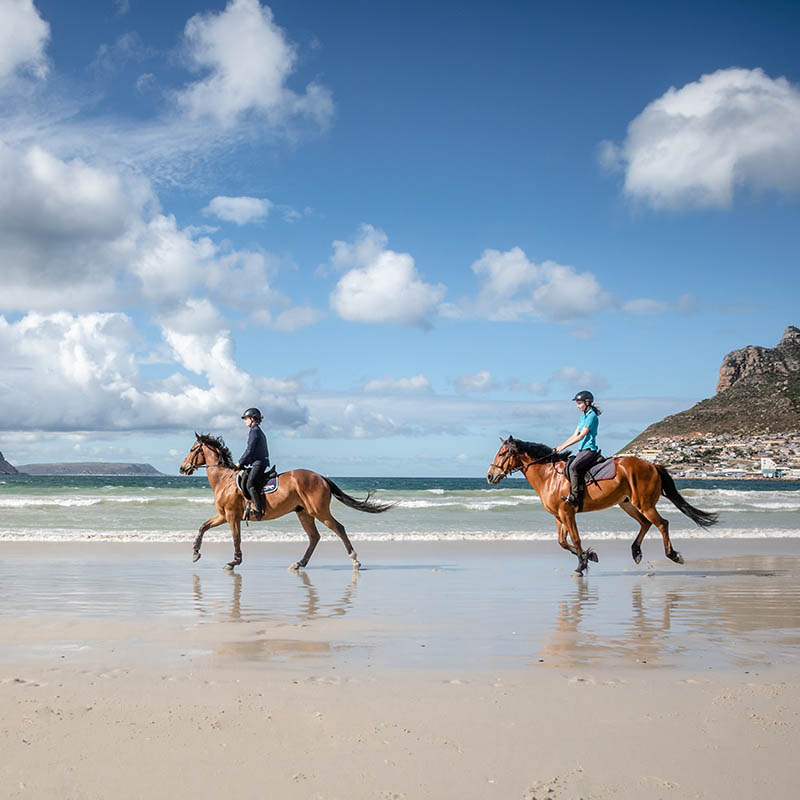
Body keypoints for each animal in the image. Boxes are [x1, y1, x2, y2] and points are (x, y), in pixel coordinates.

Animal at [180, 434, 394, 572]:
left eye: (192, 449)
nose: (183, 468)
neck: (225, 479)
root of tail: (322, 477)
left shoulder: (232, 516)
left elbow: (236, 538)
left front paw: (234, 562)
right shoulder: (224, 515)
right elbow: (203, 527)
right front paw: (195, 552)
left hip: (319, 511)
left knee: (338, 529)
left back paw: (355, 560)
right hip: (303, 512)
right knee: (314, 537)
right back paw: (299, 563)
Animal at [488, 438, 720, 576]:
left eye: (502, 454)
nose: (489, 476)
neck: (549, 476)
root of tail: (653, 464)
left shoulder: (567, 512)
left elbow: (576, 539)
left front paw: (581, 565)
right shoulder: (558, 516)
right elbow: (562, 542)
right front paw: (589, 556)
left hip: (644, 504)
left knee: (662, 524)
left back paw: (673, 555)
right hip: (628, 504)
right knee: (646, 524)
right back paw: (636, 552)